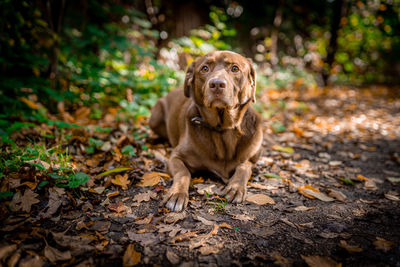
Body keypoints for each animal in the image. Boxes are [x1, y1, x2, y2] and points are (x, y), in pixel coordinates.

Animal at [149, 50, 262, 213]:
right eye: (205, 68)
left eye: (235, 68)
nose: (217, 84)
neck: (222, 128)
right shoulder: (175, 157)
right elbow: (183, 172)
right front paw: (177, 195)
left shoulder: (252, 159)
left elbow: (243, 167)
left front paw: (235, 187)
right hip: (155, 116)